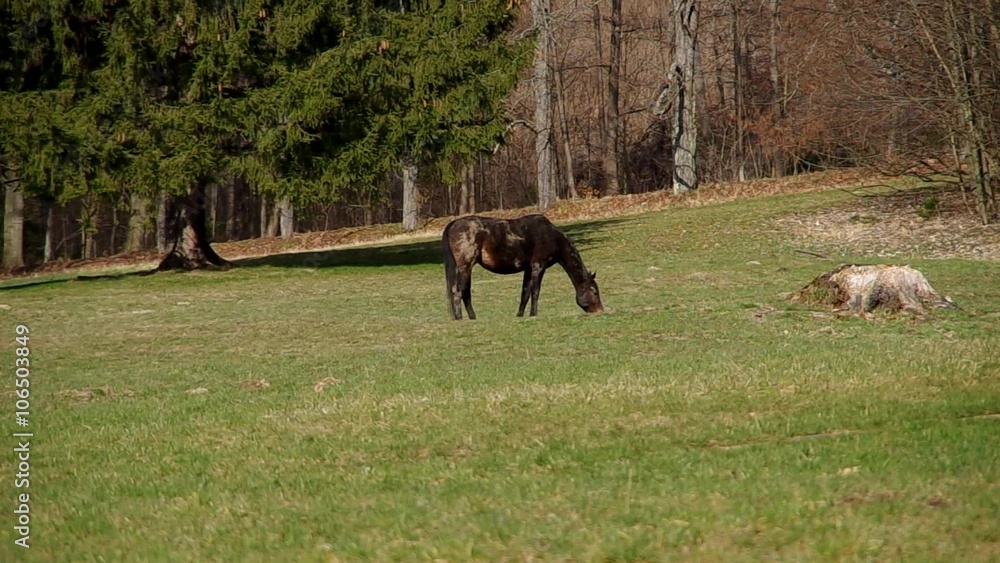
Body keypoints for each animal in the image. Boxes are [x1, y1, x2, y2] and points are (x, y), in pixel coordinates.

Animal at [442, 214, 604, 320]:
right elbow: (535, 291)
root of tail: (453, 223)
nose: (600, 310)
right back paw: (459, 317)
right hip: (465, 267)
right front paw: (533, 314)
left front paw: (520, 315)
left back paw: (472, 317)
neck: (552, 237)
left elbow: (525, 292)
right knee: (459, 291)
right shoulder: (538, 266)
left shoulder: (528, 268)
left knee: (464, 292)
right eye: (595, 292)